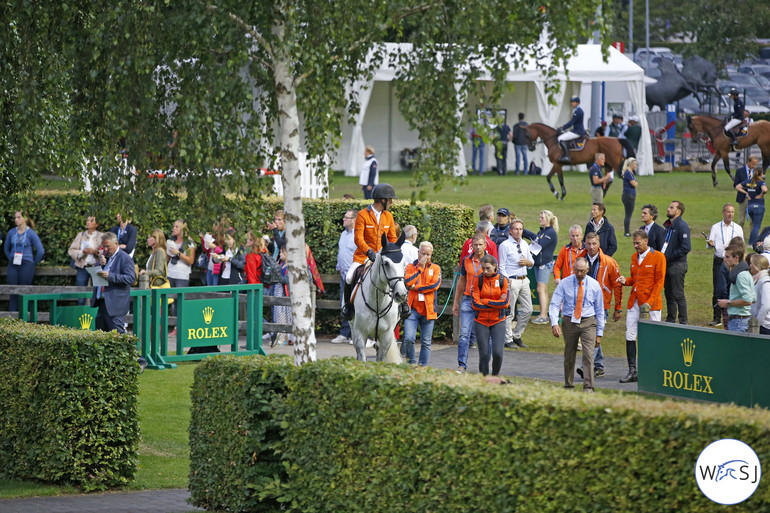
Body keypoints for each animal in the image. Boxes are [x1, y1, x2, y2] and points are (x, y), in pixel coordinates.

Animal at [350, 230, 408, 362]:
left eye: (404, 264)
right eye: (386, 263)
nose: (401, 294)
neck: (378, 300)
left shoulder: (386, 337)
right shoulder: (360, 335)